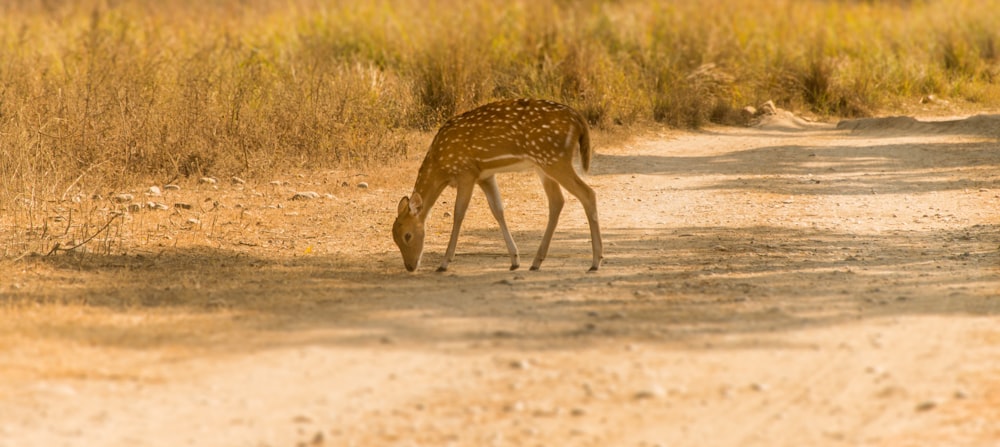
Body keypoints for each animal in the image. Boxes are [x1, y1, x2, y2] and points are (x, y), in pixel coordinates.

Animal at [390, 99, 600, 272]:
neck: (441, 167)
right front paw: (515, 260)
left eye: (407, 235)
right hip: (544, 164)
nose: (410, 266)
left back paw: (595, 262)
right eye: (394, 238)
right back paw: (536, 262)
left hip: (555, 159)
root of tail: (579, 120)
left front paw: (444, 263)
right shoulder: (485, 176)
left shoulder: (466, 172)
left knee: (587, 193)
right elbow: (498, 210)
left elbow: (459, 214)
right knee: (557, 201)